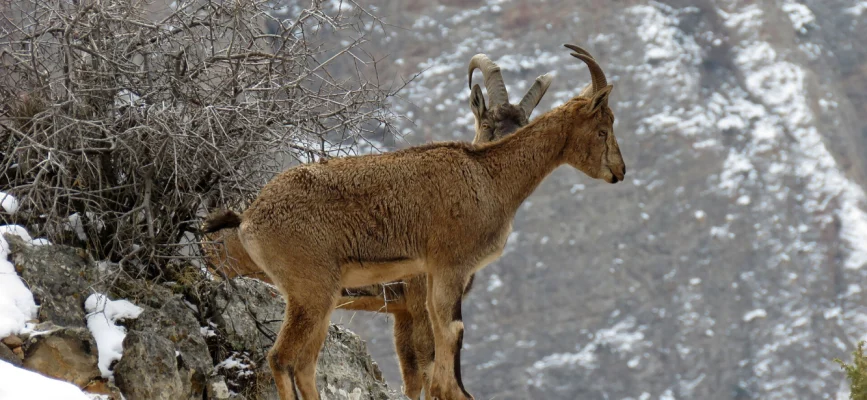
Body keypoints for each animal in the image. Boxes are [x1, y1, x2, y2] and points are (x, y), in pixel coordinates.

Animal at [202, 43, 625, 400]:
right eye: (603, 128)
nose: (619, 171)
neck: (489, 175)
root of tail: (249, 218)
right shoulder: (444, 272)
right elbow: (446, 344)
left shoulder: (426, 287)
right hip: (311, 291)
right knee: (282, 358)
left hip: (318, 299)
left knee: (304, 363)